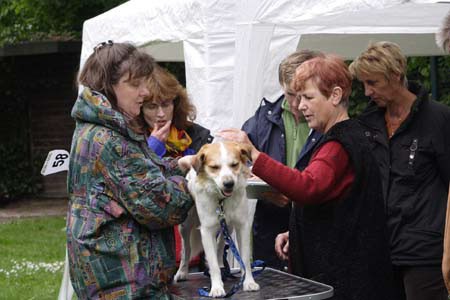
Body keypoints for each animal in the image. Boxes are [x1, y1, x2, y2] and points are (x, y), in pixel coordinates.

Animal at [176, 141, 260, 298]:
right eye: (214, 167)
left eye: (234, 164)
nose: (229, 183)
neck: (221, 200)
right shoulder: (207, 231)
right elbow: (212, 263)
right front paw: (216, 288)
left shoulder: (242, 226)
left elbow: (245, 258)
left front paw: (248, 282)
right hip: (185, 226)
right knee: (186, 250)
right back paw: (182, 272)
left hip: (228, 226)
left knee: (221, 245)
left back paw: (222, 265)